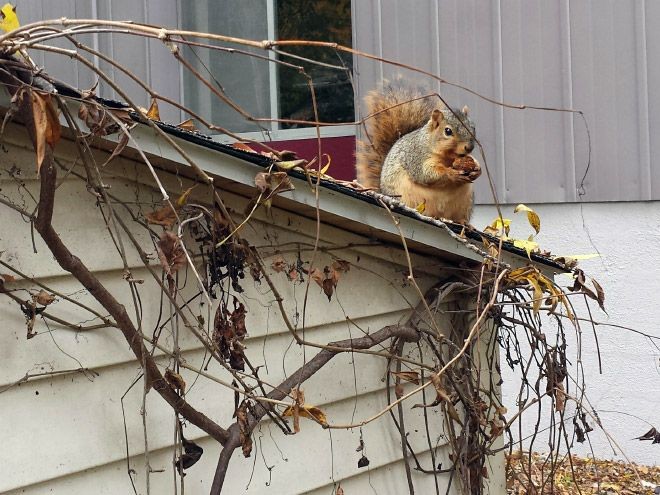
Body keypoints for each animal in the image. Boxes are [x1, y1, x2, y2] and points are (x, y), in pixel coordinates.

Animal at [356, 84, 480, 224]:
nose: (469, 147)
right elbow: (425, 173)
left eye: (473, 127)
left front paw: (477, 169)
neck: (448, 157)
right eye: (448, 131)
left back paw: (465, 224)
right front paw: (451, 173)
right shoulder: (416, 156)